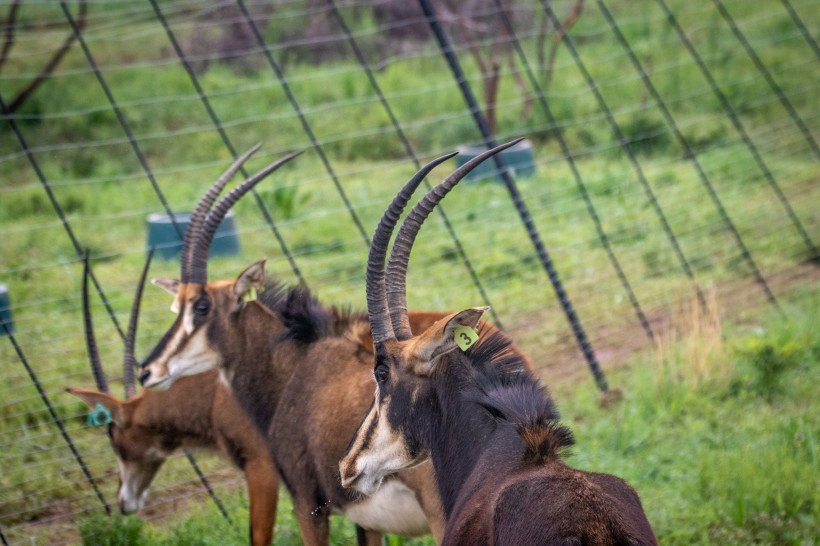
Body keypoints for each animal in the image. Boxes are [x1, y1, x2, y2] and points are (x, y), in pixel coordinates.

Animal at [137, 142, 528, 540]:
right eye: (177, 304)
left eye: (201, 307)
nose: (147, 371)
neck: (294, 368)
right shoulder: (365, 521)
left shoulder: (306, 503)